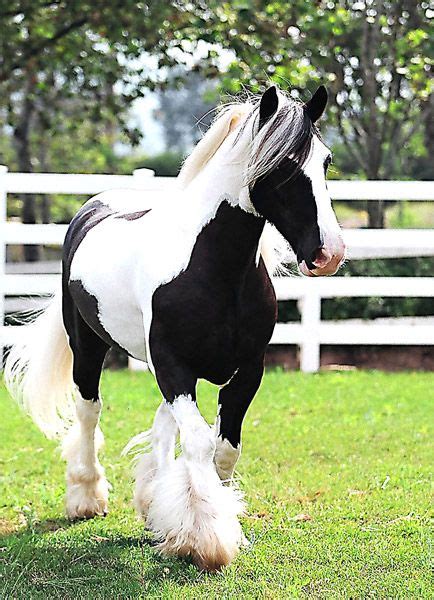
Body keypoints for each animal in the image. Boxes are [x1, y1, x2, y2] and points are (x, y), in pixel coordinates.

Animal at [5, 85, 346, 572]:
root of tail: (94, 207)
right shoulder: (175, 367)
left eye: (325, 161)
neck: (211, 267)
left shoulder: (247, 369)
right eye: (282, 165)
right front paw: (205, 540)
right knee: (89, 411)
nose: (328, 254)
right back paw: (87, 497)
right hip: (89, 347)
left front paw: (199, 519)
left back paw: (152, 501)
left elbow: (225, 447)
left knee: (163, 424)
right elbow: (200, 443)